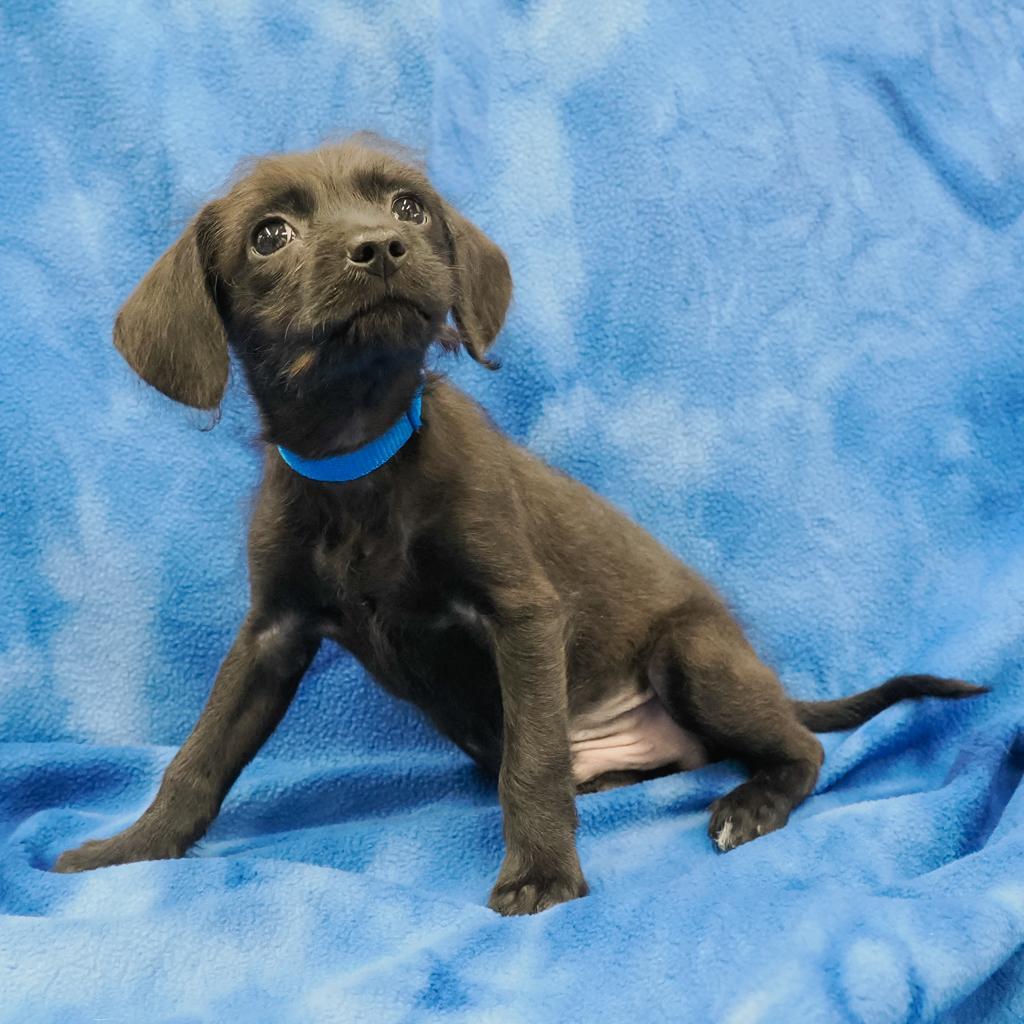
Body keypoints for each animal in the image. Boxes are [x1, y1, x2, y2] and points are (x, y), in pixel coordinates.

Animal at [54, 136, 983, 913]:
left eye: (409, 208)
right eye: (269, 234)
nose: (380, 249)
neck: (361, 460)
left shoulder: (521, 613)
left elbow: (532, 764)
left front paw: (541, 873)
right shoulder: (271, 635)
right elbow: (199, 758)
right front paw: (131, 848)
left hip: (694, 657)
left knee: (802, 750)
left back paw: (749, 804)